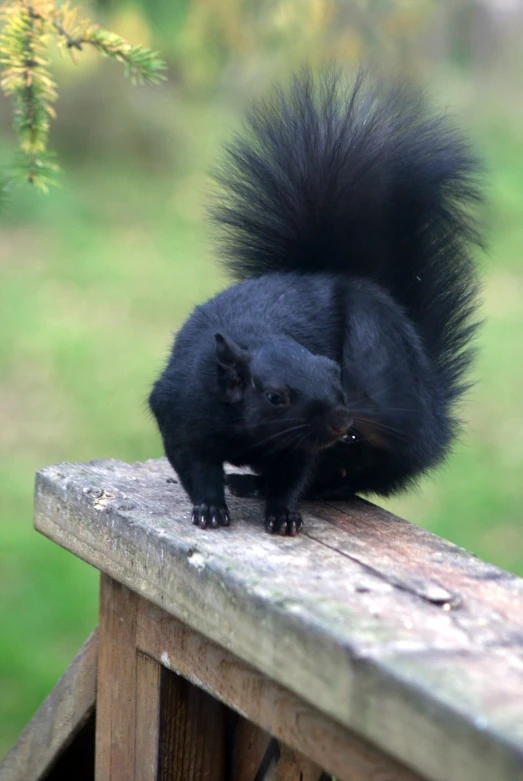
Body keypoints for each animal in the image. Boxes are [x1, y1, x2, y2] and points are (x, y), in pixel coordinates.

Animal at [148, 71, 484, 536]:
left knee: (345, 478)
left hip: (379, 371)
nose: (342, 421)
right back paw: (250, 483)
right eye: (274, 397)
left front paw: (284, 514)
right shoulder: (182, 414)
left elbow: (295, 476)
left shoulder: (304, 447)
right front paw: (210, 509)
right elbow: (196, 467)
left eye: (336, 374)